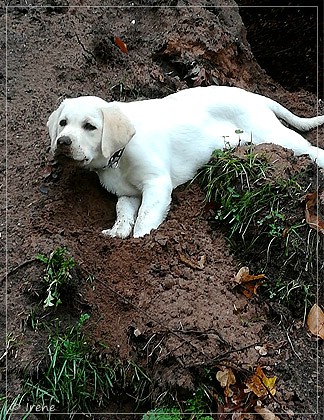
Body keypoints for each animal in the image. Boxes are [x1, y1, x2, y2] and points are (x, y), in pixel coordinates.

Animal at [47, 86, 324, 236]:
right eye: (63, 123)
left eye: (90, 126)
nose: (63, 142)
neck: (118, 156)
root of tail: (253, 96)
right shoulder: (127, 193)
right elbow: (123, 213)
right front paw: (117, 233)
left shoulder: (157, 183)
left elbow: (145, 217)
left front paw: (142, 240)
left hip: (271, 134)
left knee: (308, 147)